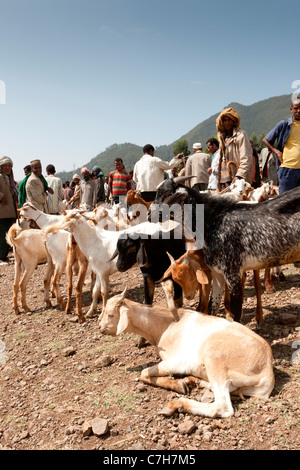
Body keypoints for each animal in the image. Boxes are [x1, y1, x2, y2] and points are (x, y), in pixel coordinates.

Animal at [99, 290, 276, 418]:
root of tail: (267, 372)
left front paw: (178, 385)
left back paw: (176, 404)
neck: (166, 325)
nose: (100, 327)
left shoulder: (178, 362)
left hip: (215, 358)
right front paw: (183, 383)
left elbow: (144, 373)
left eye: (110, 314)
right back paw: (195, 382)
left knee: (222, 406)